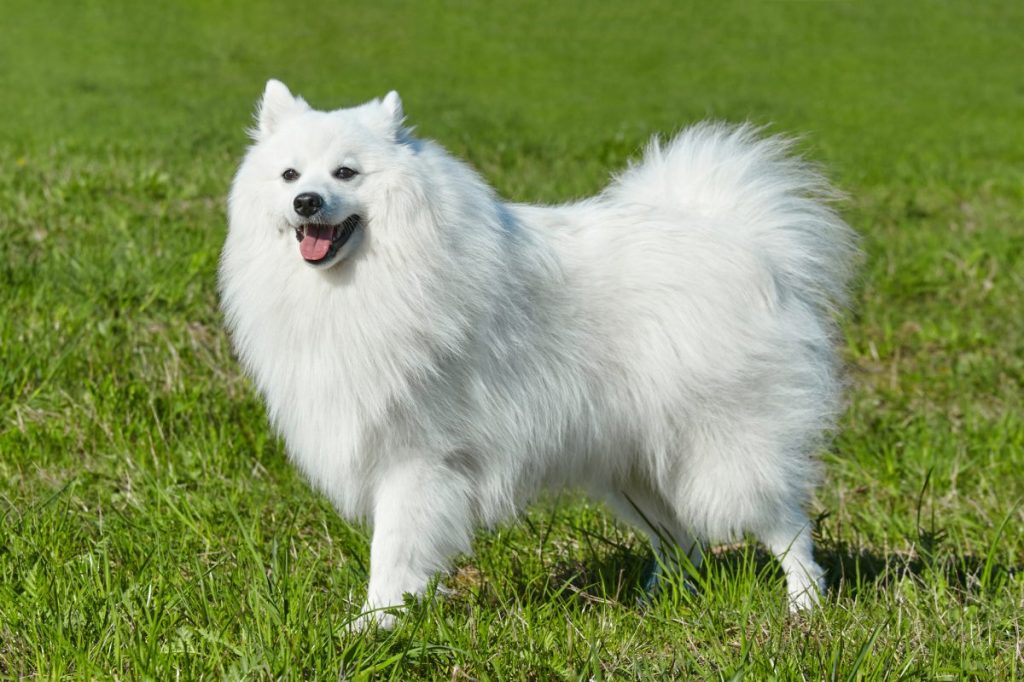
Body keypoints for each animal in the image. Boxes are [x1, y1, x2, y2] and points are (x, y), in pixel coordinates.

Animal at [222, 79, 856, 626]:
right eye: (289, 174)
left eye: (346, 172)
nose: (306, 201)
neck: (364, 283)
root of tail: (743, 238)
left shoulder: (417, 459)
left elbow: (393, 550)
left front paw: (372, 625)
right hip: (640, 467)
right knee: (682, 541)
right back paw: (655, 604)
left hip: (724, 449)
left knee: (786, 527)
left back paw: (804, 607)